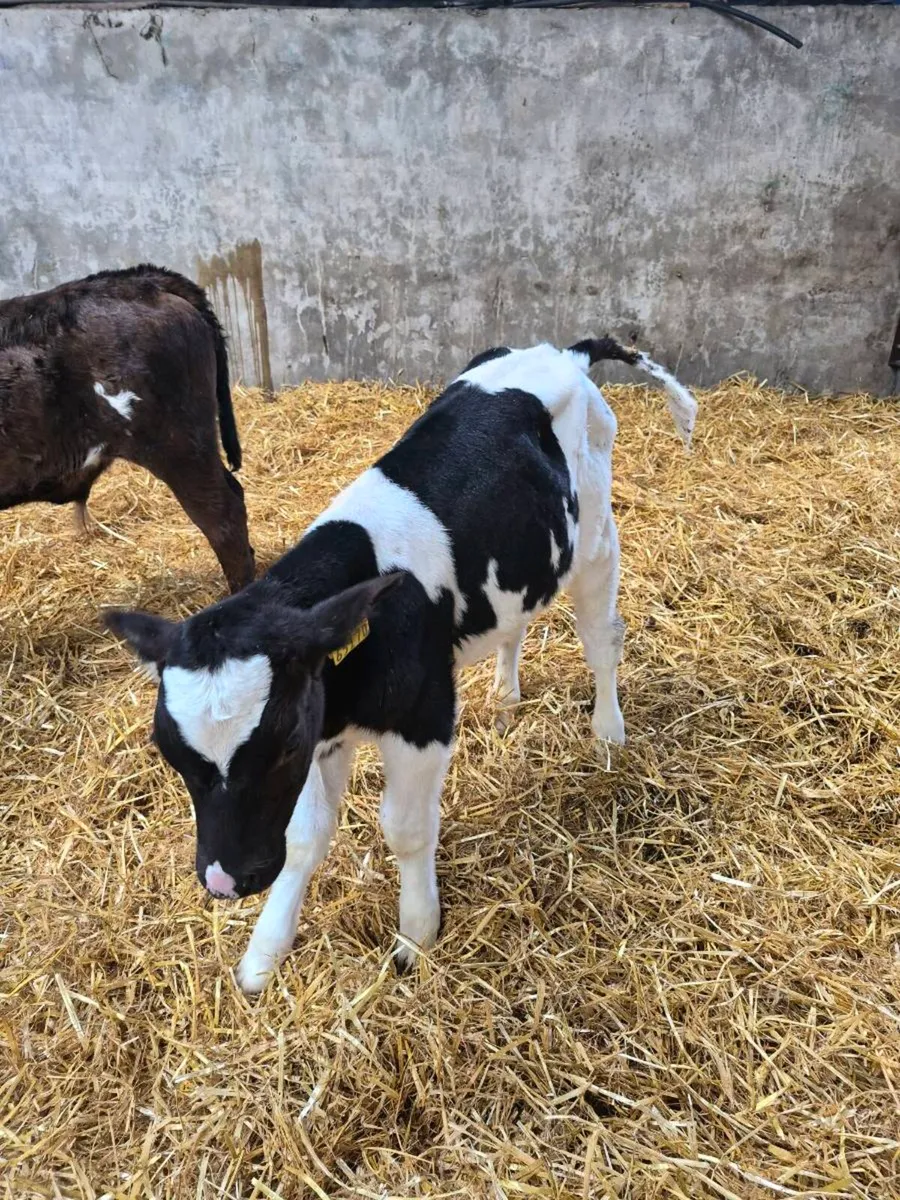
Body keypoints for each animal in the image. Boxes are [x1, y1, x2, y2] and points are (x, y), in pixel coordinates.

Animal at [104, 336, 697, 994]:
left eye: (281, 746)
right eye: (171, 755)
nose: (224, 881)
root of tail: (561, 351)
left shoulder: (422, 719)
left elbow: (405, 830)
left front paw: (416, 933)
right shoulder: (326, 723)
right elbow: (304, 837)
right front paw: (265, 952)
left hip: (594, 542)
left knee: (601, 640)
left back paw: (608, 734)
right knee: (516, 623)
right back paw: (504, 699)